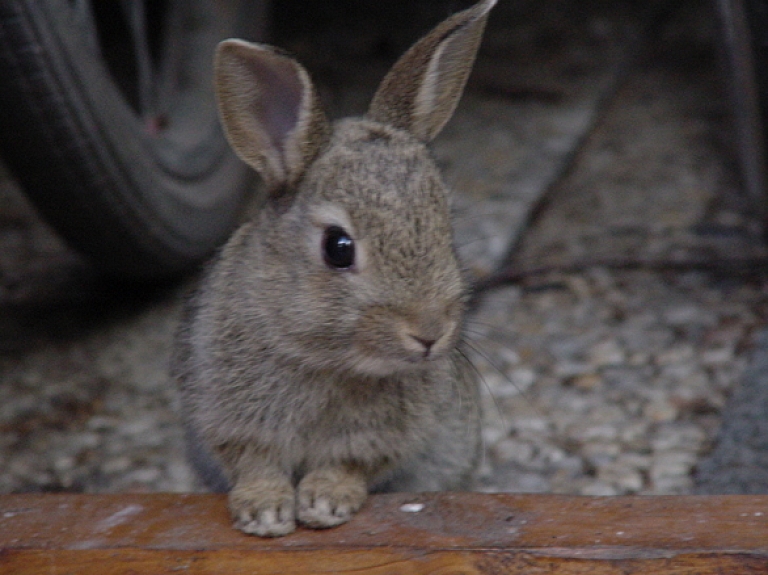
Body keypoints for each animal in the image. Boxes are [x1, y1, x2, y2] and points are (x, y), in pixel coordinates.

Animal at [173, 0, 498, 540]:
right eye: (338, 248)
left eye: (445, 226)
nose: (429, 334)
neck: (328, 358)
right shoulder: (228, 417)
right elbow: (255, 463)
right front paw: (265, 513)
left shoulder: (382, 438)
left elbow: (348, 465)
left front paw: (325, 503)